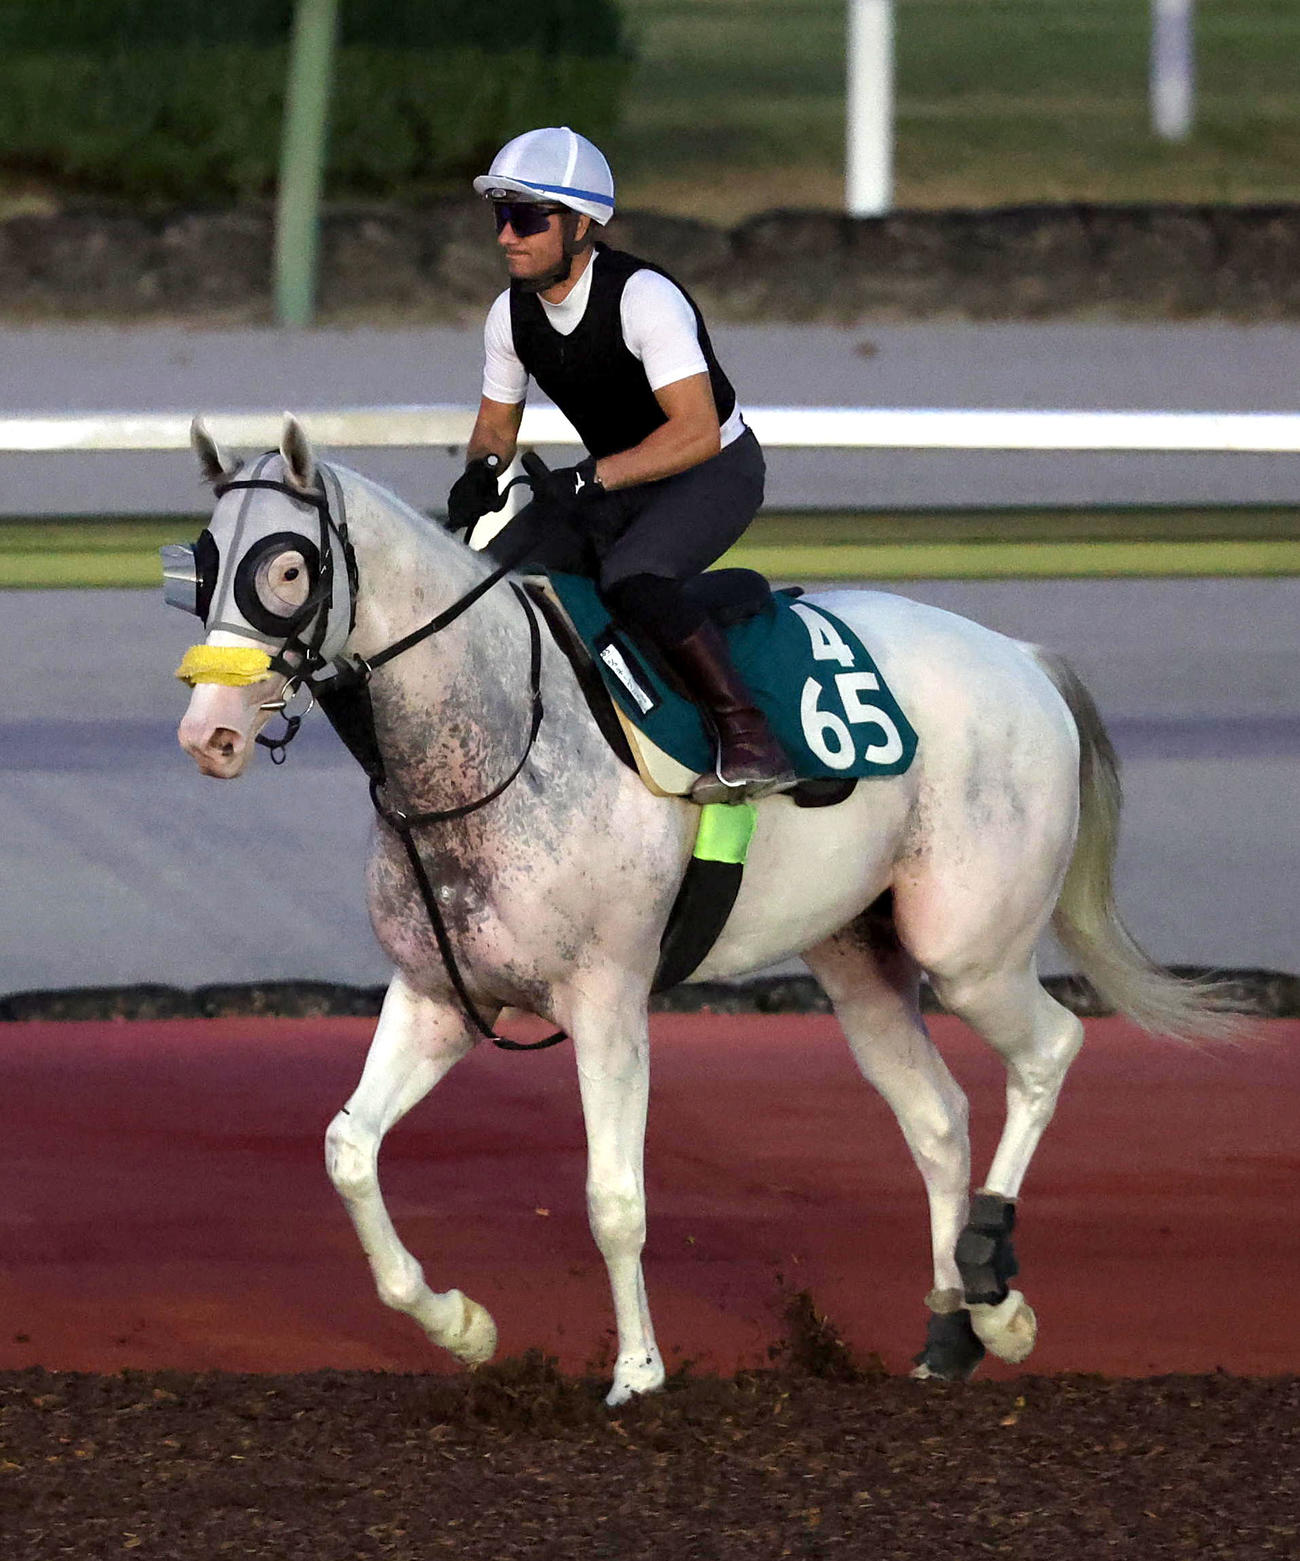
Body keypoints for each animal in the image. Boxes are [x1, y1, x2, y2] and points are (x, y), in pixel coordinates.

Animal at [168, 414, 1226, 1404]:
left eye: (288, 568)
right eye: (202, 564)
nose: (207, 732)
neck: (497, 733)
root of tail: (1023, 656)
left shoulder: (607, 1002)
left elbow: (613, 1199)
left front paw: (637, 1371)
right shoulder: (439, 992)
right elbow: (349, 1147)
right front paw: (460, 1325)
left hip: (968, 947)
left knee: (1049, 1048)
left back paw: (995, 1297)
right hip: (859, 957)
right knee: (937, 1115)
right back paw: (947, 1332)